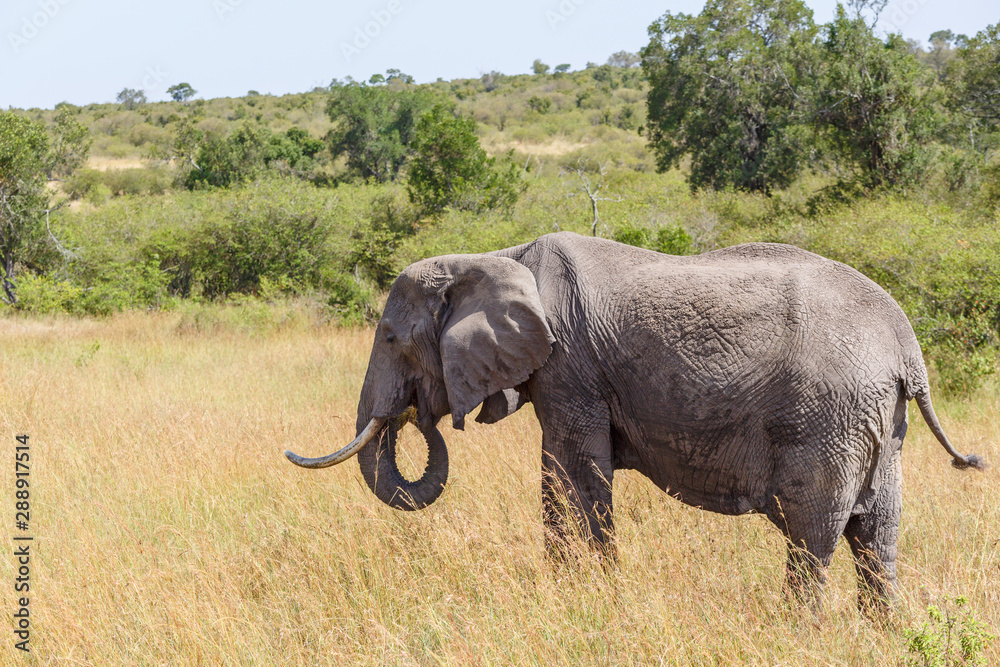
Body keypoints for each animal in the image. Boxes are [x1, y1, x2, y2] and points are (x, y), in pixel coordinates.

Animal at [286, 231, 984, 612]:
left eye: (390, 337)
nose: (414, 412)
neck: (497, 256)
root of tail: (906, 344)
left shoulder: (570, 367)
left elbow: (571, 474)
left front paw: (582, 598)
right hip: (880, 421)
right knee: (877, 535)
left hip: (829, 414)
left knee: (813, 533)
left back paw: (795, 631)